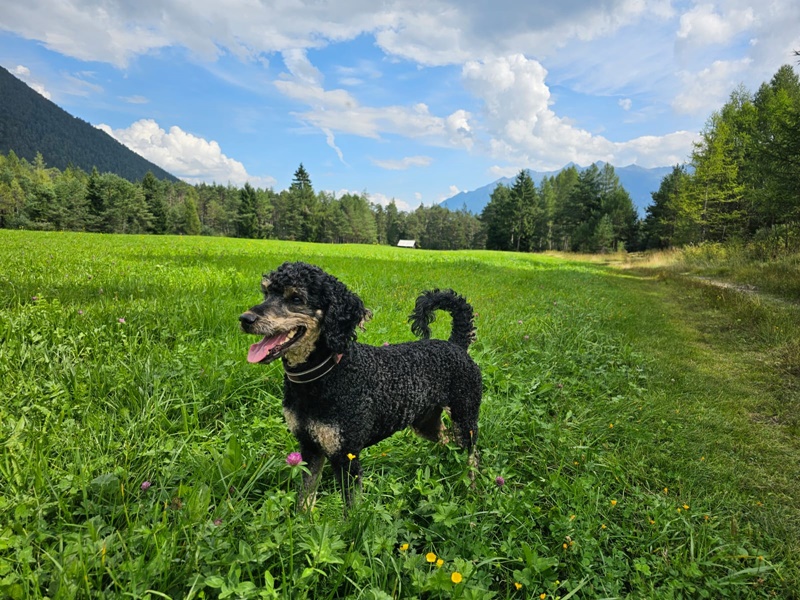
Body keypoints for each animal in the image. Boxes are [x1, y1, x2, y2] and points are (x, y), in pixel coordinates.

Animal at [239, 261, 482, 506]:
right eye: (266, 292)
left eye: (296, 298)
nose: (245, 319)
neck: (327, 374)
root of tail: (456, 344)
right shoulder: (309, 449)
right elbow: (304, 500)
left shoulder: (346, 457)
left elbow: (351, 510)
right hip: (426, 422)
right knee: (447, 440)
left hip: (465, 418)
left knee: (472, 456)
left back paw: (471, 489)